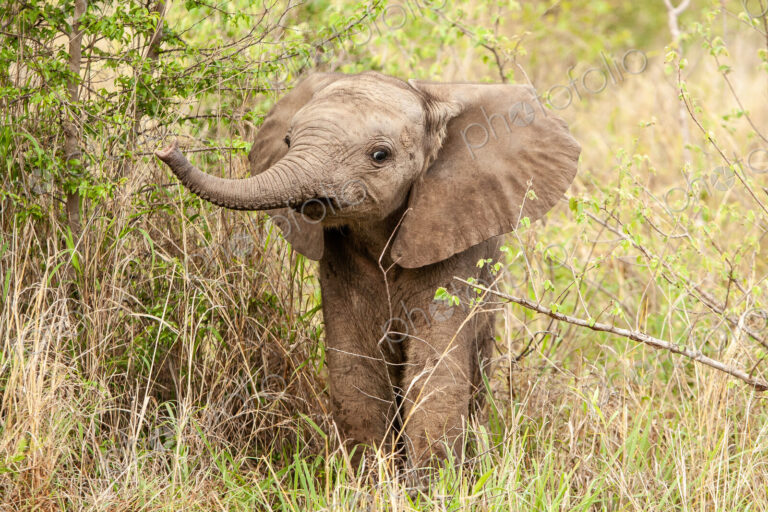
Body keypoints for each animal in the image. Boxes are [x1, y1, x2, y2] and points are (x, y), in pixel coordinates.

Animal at [155, 71, 580, 469]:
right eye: (288, 142)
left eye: (380, 155)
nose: (166, 146)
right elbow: (356, 369)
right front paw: (371, 482)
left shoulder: (453, 231)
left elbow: (434, 374)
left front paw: (429, 489)